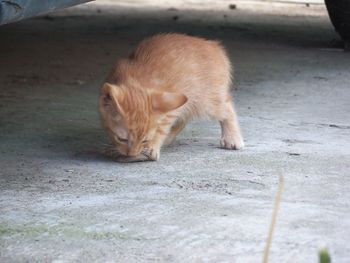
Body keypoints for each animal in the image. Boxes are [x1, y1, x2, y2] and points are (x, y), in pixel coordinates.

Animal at [100, 33, 245, 163]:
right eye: (122, 139)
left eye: (145, 140)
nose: (131, 154)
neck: (136, 81)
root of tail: (213, 46)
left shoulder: (170, 107)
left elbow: (161, 128)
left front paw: (152, 147)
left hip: (206, 101)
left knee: (227, 107)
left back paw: (232, 137)